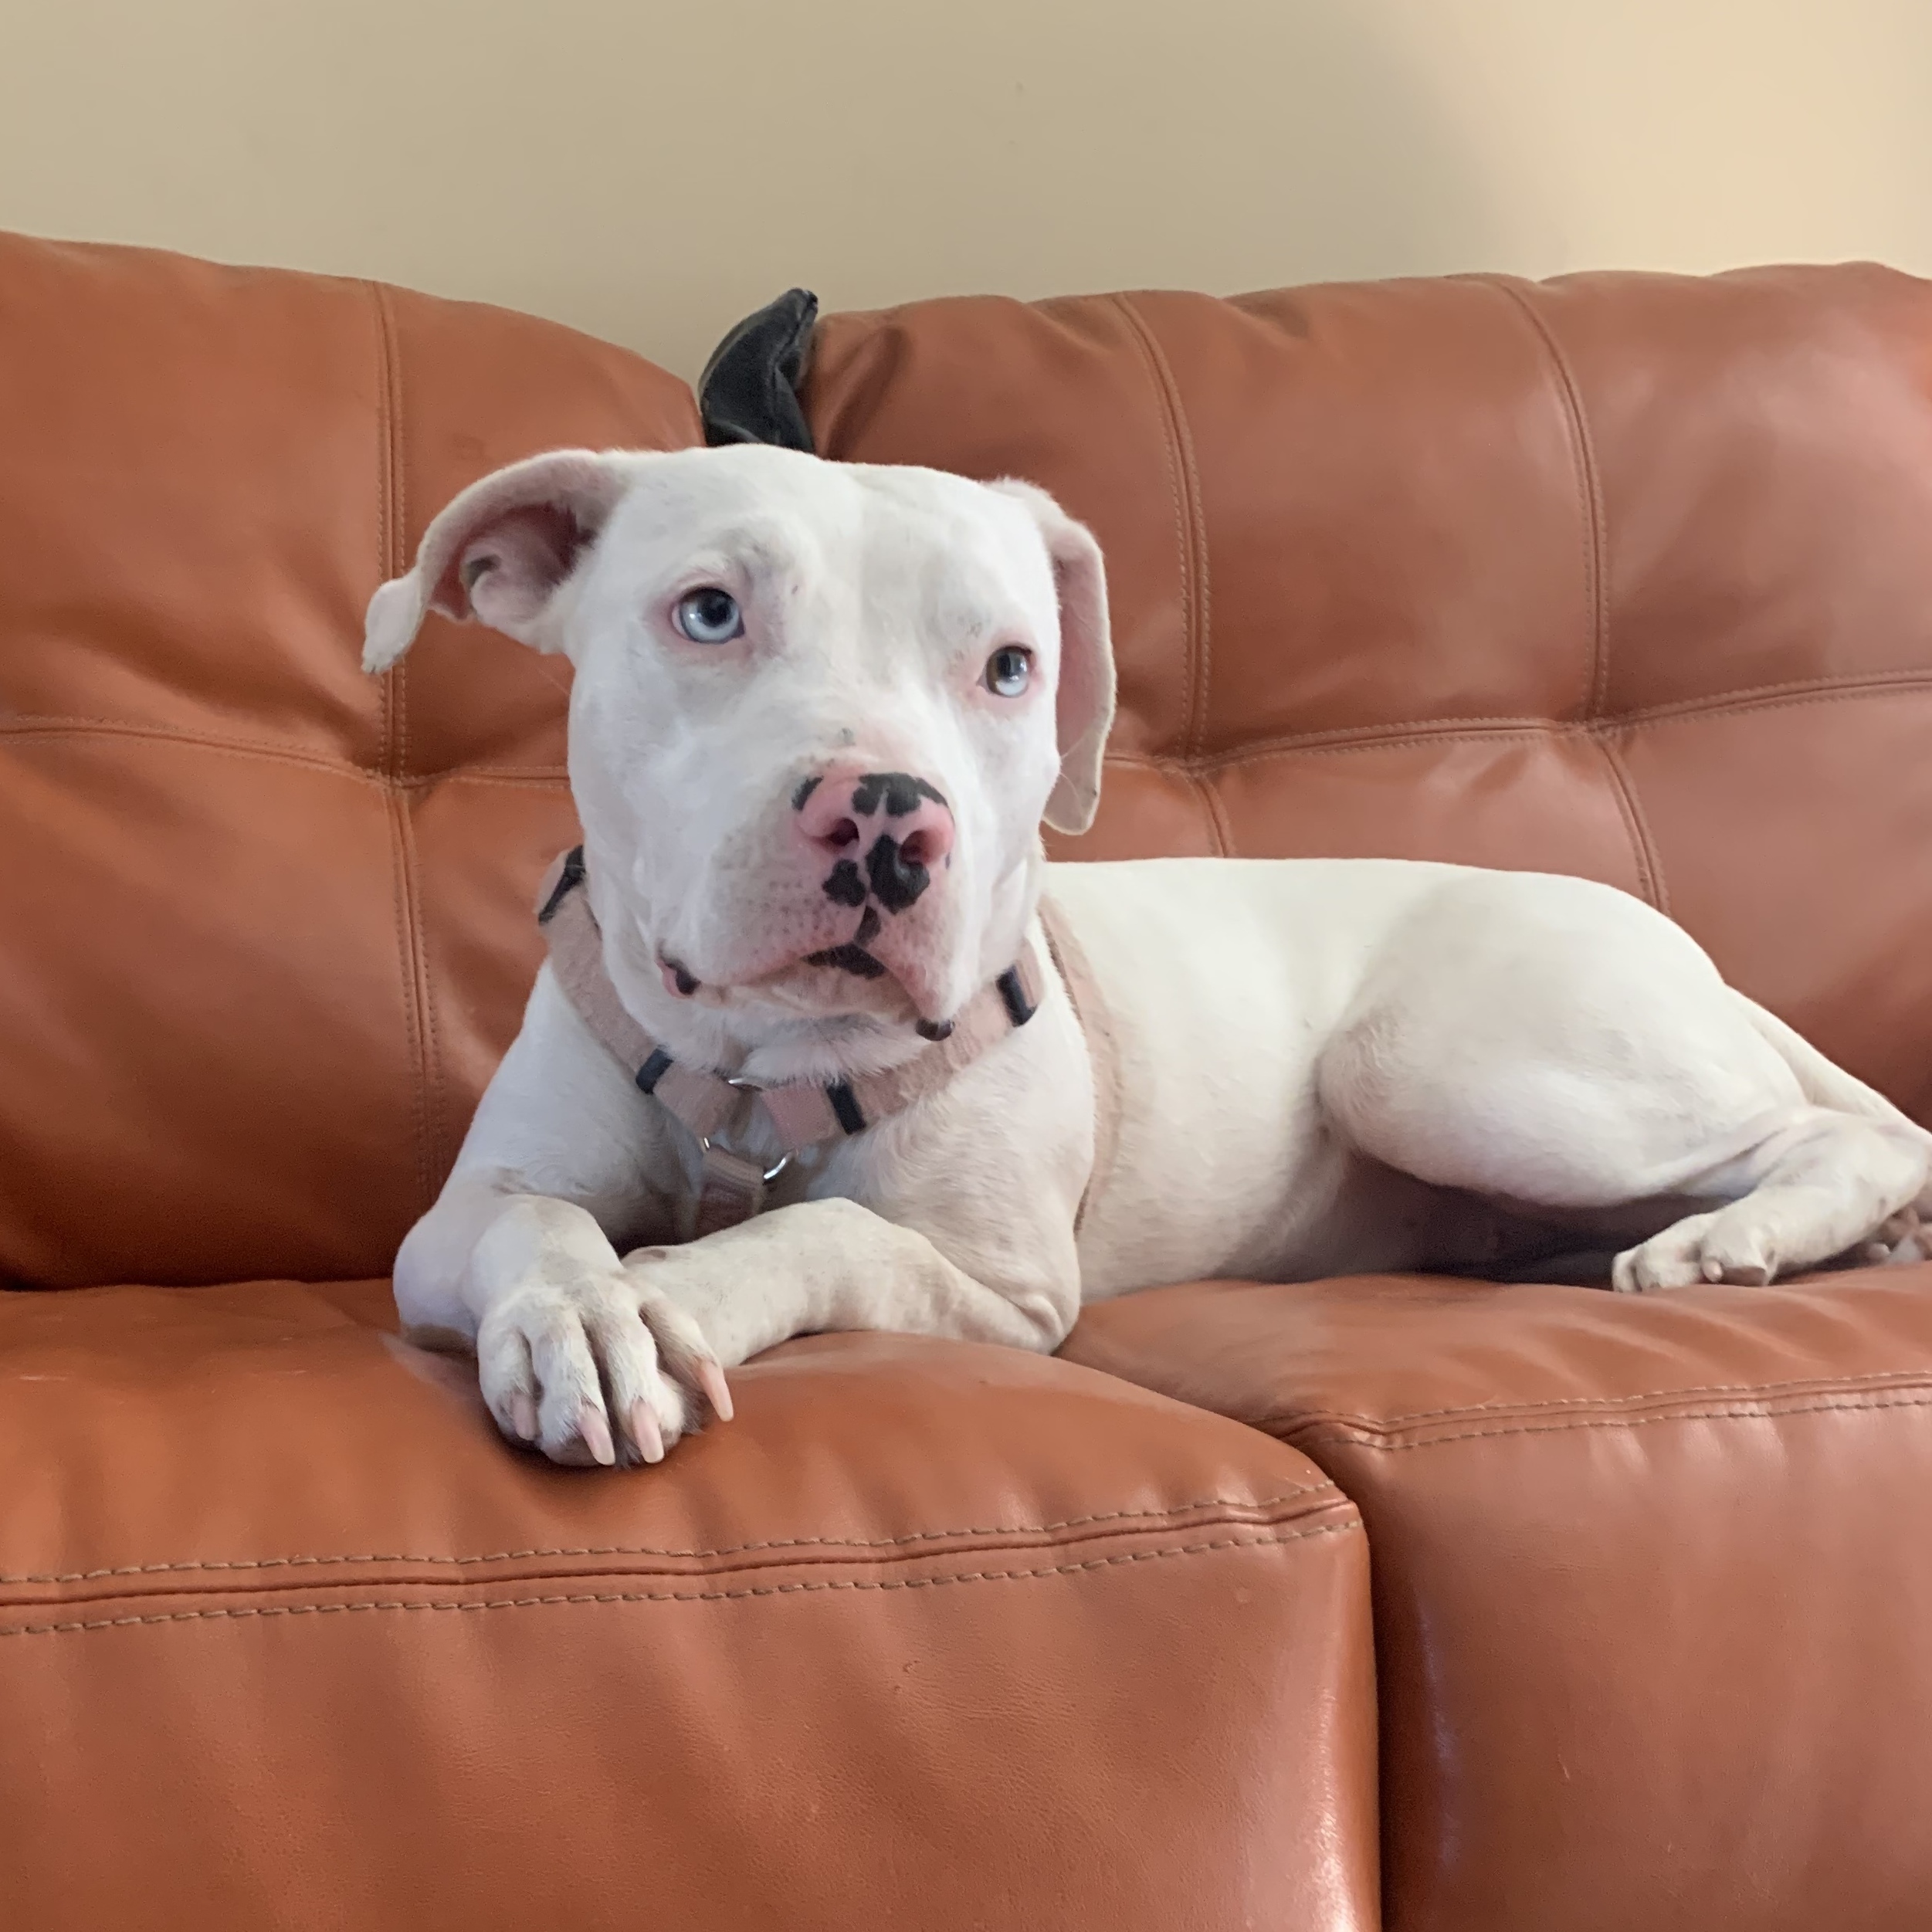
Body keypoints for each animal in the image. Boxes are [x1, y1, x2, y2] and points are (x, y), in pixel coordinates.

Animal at [363, 444, 1932, 1460]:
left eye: (1010, 666)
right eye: (707, 611)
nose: (889, 819)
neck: (759, 1075)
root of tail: (1673, 937)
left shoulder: (999, 1289)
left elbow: (825, 1231)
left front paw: (675, 1286)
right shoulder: (458, 1219)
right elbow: (531, 1228)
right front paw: (584, 1311)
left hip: (1437, 1070)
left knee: (1842, 1133)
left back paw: (1737, 1239)